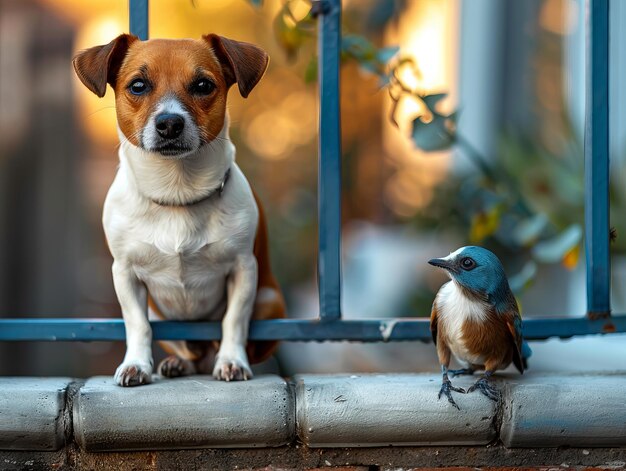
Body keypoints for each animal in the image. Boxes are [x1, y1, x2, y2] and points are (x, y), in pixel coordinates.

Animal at [73, 33, 286, 388]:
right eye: (138, 85)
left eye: (203, 85)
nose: (170, 122)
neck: (176, 194)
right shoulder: (125, 274)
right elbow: (137, 324)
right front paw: (136, 365)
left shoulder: (244, 270)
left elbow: (233, 320)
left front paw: (231, 360)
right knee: (189, 353)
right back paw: (179, 363)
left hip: (269, 301)